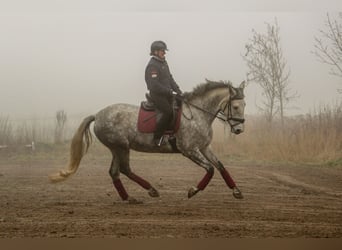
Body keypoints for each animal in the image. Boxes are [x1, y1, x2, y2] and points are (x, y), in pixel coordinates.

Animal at [49, 80, 246, 203]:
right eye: (236, 106)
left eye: (244, 105)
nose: (239, 130)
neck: (197, 114)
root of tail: (97, 115)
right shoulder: (189, 149)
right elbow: (210, 169)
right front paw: (193, 191)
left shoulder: (204, 147)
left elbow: (220, 166)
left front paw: (236, 191)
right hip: (121, 146)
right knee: (124, 169)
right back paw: (151, 190)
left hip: (117, 148)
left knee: (115, 172)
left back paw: (129, 198)